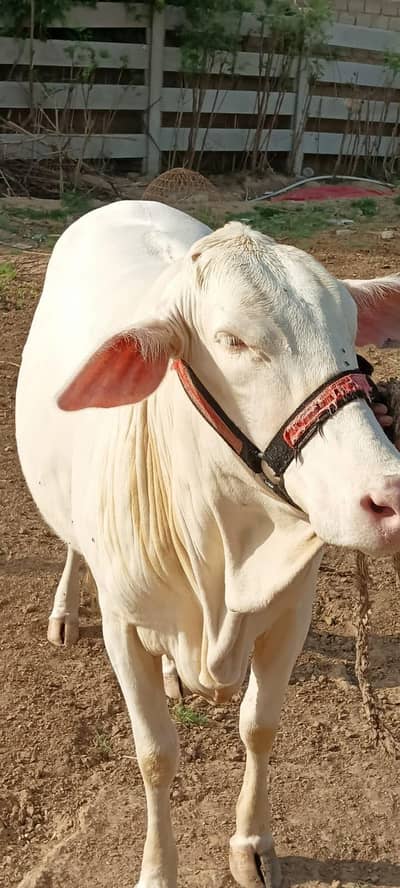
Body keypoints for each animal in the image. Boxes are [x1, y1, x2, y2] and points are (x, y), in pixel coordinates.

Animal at [15, 200, 400, 888]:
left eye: (351, 332)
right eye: (233, 341)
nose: (384, 497)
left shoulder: (291, 613)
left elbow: (260, 726)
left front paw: (253, 845)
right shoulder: (121, 625)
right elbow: (156, 755)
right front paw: (157, 870)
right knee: (73, 548)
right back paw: (64, 612)